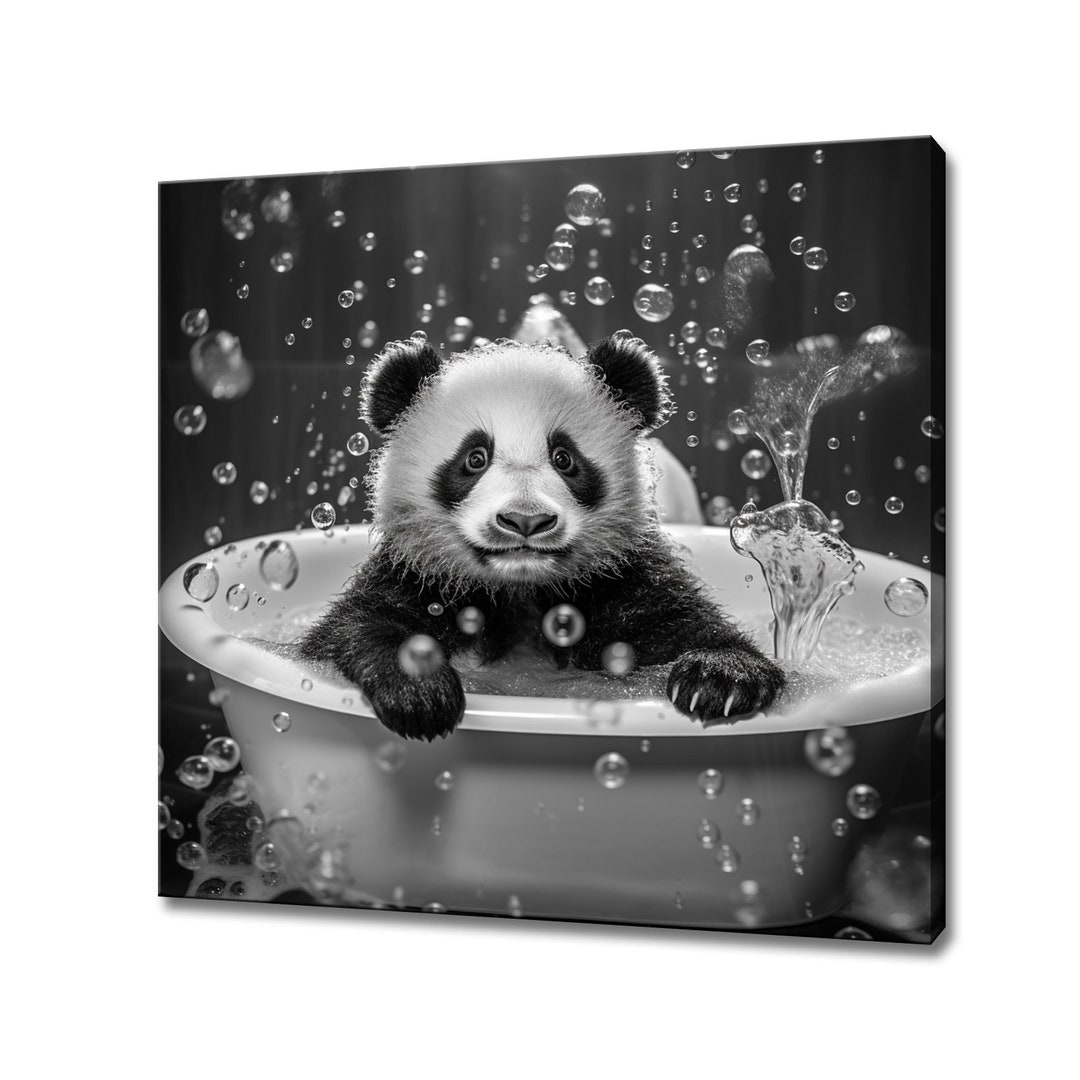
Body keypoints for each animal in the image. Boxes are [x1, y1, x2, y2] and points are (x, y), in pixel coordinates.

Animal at [299, 332, 785, 740]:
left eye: (564, 458)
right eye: (475, 458)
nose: (525, 521)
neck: (521, 590)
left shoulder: (623, 580)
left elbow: (690, 626)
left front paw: (720, 679)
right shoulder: (418, 573)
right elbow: (355, 627)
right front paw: (419, 692)